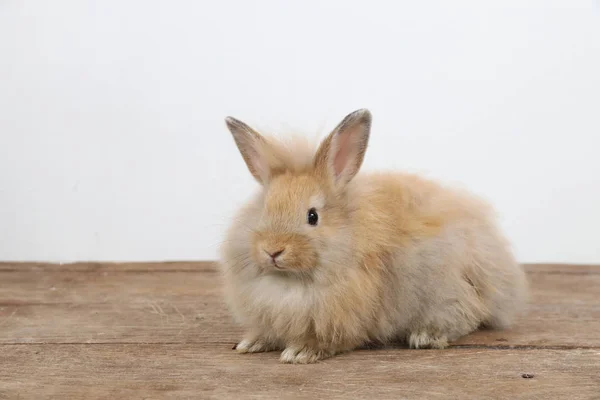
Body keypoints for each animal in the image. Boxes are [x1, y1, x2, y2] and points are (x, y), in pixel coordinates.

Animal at [218, 108, 528, 362]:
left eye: (312, 216)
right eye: (264, 210)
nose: (272, 250)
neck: (291, 284)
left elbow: (333, 339)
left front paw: (300, 352)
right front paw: (252, 342)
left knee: (469, 313)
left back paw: (425, 336)